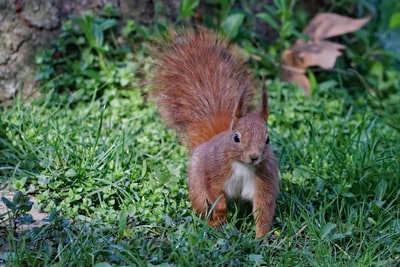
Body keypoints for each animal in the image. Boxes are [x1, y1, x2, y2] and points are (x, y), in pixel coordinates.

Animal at [153, 28, 282, 239]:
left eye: (267, 139)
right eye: (236, 137)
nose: (254, 157)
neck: (242, 165)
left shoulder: (264, 180)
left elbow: (263, 208)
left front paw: (261, 237)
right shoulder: (213, 170)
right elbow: (214, 193)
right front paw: (221, 215)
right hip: (197, 189)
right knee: (203, 204)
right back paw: (215, 224)